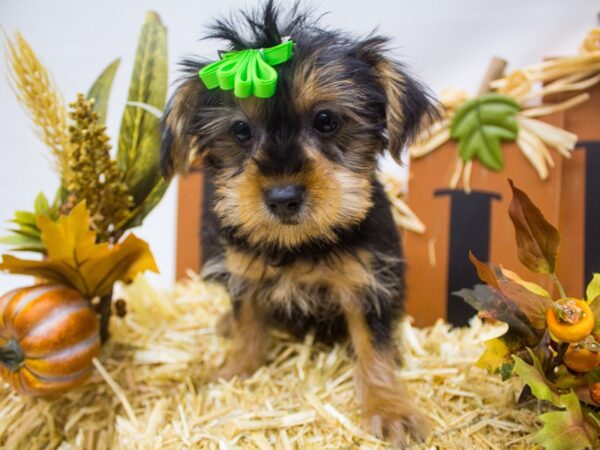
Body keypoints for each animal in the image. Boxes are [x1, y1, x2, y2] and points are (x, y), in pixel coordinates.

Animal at [162, 0, 436, 446]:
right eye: (240, 130)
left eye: (326, 120)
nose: (282, 198)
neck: (299, 242)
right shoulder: (245, 271)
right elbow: (248, 320)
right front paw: (235, 370)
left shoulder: (366, 278)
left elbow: (372, 344)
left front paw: (388, 406)